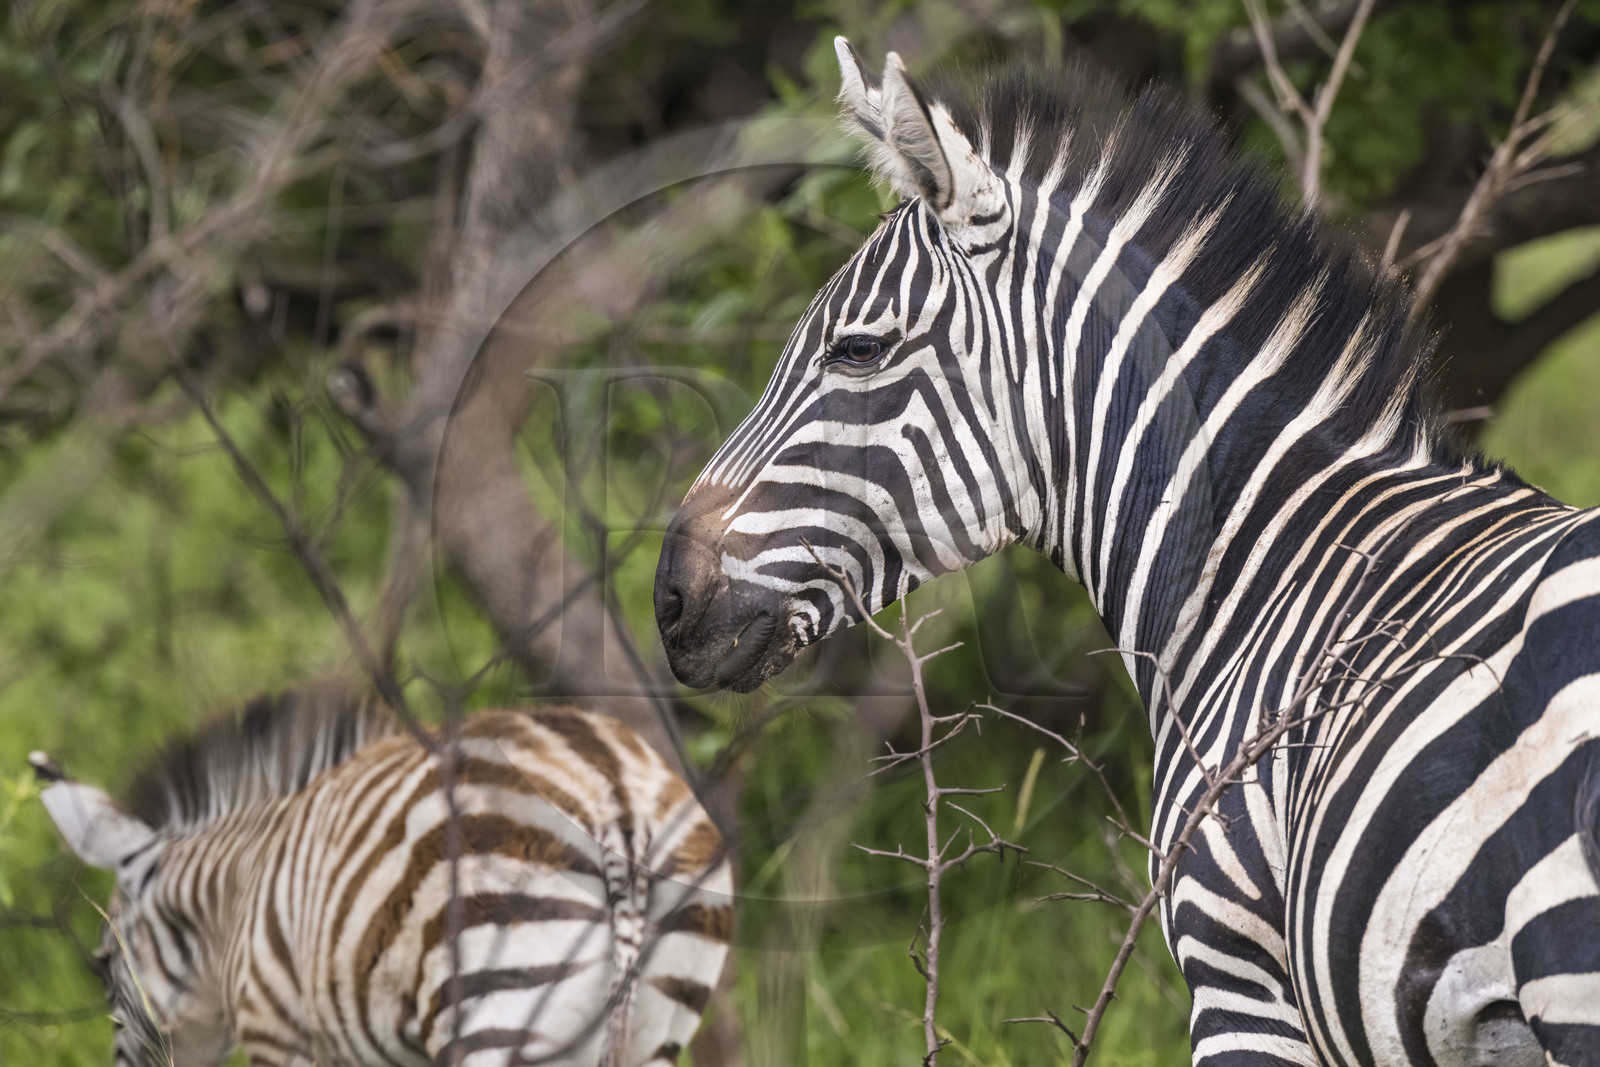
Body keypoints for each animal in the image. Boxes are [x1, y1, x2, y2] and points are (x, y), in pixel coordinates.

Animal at [34, 687, 732, 1067]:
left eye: (102, 966)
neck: (236, 895)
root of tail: (617, 798)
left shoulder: (276, 1021)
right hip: (655, 1022)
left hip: (501, 1004)